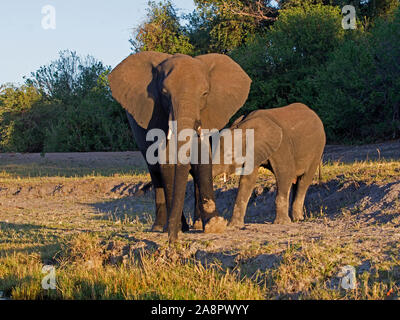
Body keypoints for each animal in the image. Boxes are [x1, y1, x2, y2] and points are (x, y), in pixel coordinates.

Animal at [108, 52, 252, 242]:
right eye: (164, 93)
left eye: (205, 93)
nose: (173, 241)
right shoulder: (158, 115)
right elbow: (166, 162)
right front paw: (178, 227)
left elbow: (202, 159)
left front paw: (214, 226)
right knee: (155, 173)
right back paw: (160, 227)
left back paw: (196, 225)